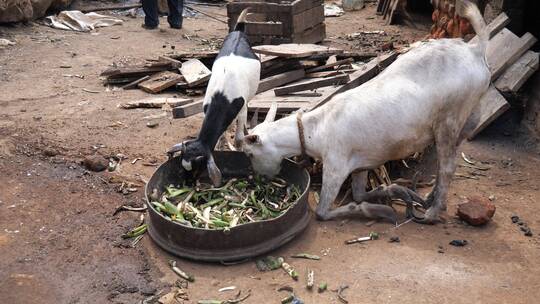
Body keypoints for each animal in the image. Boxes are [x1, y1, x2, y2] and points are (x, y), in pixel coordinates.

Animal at [169, 8, 262, 185]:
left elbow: (238, 137)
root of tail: (238, 31)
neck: (223, 96)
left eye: (198, 168)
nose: (188, 184)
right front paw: (220, 144)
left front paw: (237, 147)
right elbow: (223, 132)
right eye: (182, 165)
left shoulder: (240, 108)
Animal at [243, 1, 492, 224]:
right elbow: (361, 193)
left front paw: (379, 211)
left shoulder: (336, 165)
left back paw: (432, 213)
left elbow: (323, 212)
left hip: (449, 119)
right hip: (465, 121)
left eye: (250, 153)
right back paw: (430, 199)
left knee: (448, 166)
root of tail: (474, 50)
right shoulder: (360, 164)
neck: (317, 127)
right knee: (445, 163)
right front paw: (399, 194)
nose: (260, 179)